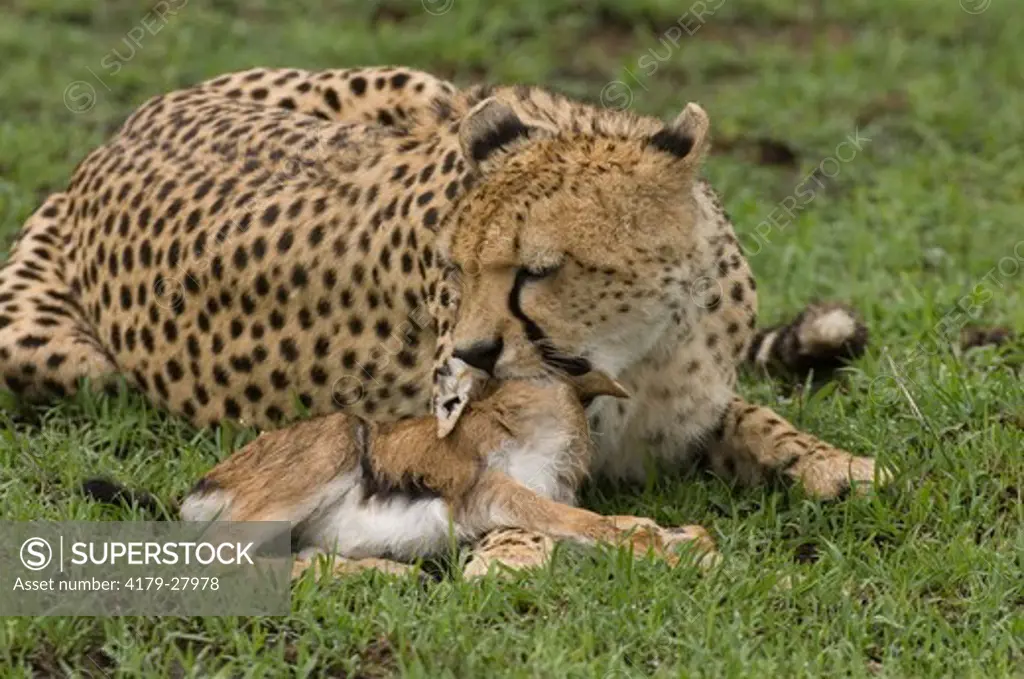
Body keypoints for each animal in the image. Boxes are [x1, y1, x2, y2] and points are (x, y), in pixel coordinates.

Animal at [2, 63, 880, 573]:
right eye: (456, 268)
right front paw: (515, 550)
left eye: (538, 269)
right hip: (59, 354)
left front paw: (833, 461)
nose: (475, 352)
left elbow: (754, 418)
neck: (641, 350)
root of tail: (118, 133)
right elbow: (509, 492)